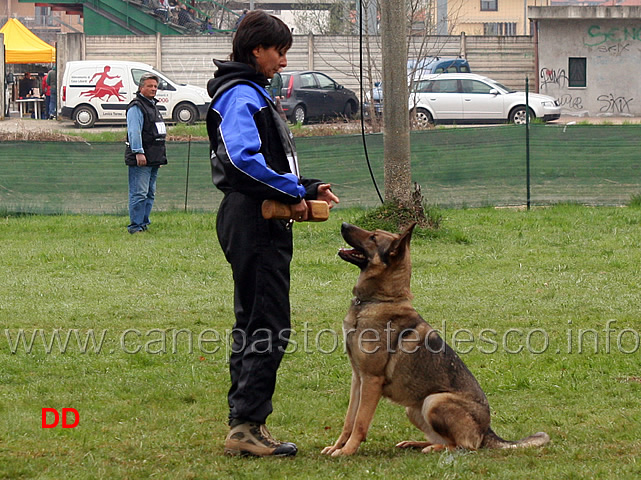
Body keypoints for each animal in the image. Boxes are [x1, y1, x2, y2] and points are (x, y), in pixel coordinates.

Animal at [320, 223, 552, 456]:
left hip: (434, 401)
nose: (343, 224)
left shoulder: (371, 381)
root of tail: (487, 431)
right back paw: (416, 443)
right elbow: (349, 420)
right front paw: (337, 446)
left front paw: (347, 451)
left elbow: (360, 422)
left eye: (373, 237)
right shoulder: (358, 379)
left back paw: (433, 448)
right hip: (413, 409)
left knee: (463, 446)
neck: (378, 300)